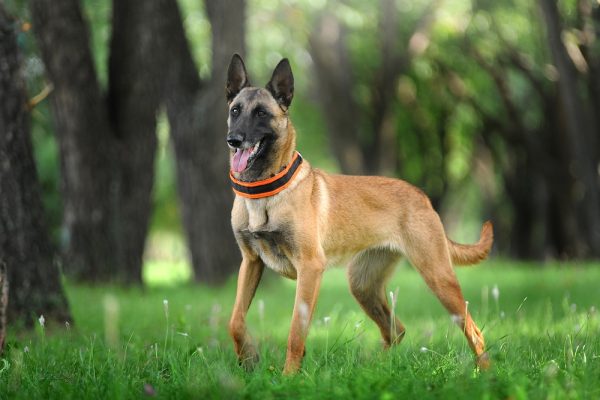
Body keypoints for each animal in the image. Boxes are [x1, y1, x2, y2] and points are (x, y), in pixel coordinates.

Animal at [225, 54, 492, 374]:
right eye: (235, 110)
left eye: (262, 113)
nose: (234, 140)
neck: (265, 192)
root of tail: (423, 197)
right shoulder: (250, 263)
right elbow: (235, 321)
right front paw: (248, 357)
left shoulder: (310, 268)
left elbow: (295, 331)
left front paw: (290, 376)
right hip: (363, 285)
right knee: (396, 330)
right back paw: (378, 368)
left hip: (438, 276)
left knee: (473, 331)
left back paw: (485, 373)